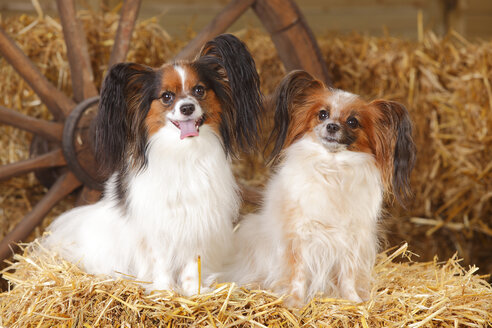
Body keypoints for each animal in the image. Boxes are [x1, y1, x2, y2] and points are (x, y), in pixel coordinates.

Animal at [40, 34, 264, 294]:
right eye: (167, 96)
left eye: (199, 90)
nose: (187, 108)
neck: (183, 152)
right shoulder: (156, 227)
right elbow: (161, 262)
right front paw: (164, 292)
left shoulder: (197, 221)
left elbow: (192, 263)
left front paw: (193, 293)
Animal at [226, 70, 416, 306]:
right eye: (322, 114)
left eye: (353, 121)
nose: (332, 126)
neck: (333, 168)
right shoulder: (299, 235)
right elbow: (298, 274)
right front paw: (295, 303)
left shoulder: (351, 240)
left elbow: (348, 274)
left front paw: (353, 301)